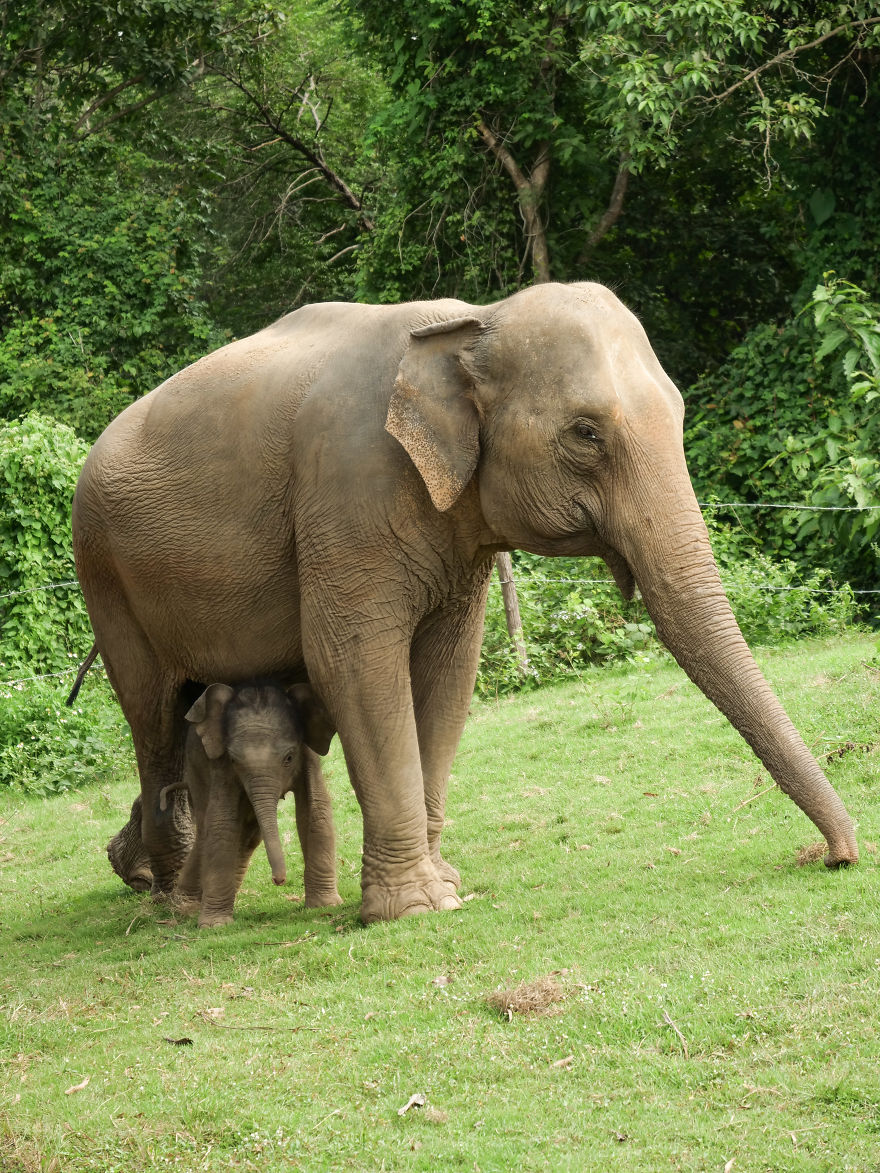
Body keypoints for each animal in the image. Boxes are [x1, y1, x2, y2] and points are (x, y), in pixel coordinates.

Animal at [166, 681, 341, 927]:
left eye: (289, 758)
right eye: (233, 760)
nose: (279, 880)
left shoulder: (308, 756)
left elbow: (315, 808)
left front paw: (325, 906)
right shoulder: (220, 765)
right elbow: (222, 821)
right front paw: (215, 925)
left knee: (249, 832)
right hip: (194, 768)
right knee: (206, 830)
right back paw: (187, 907)